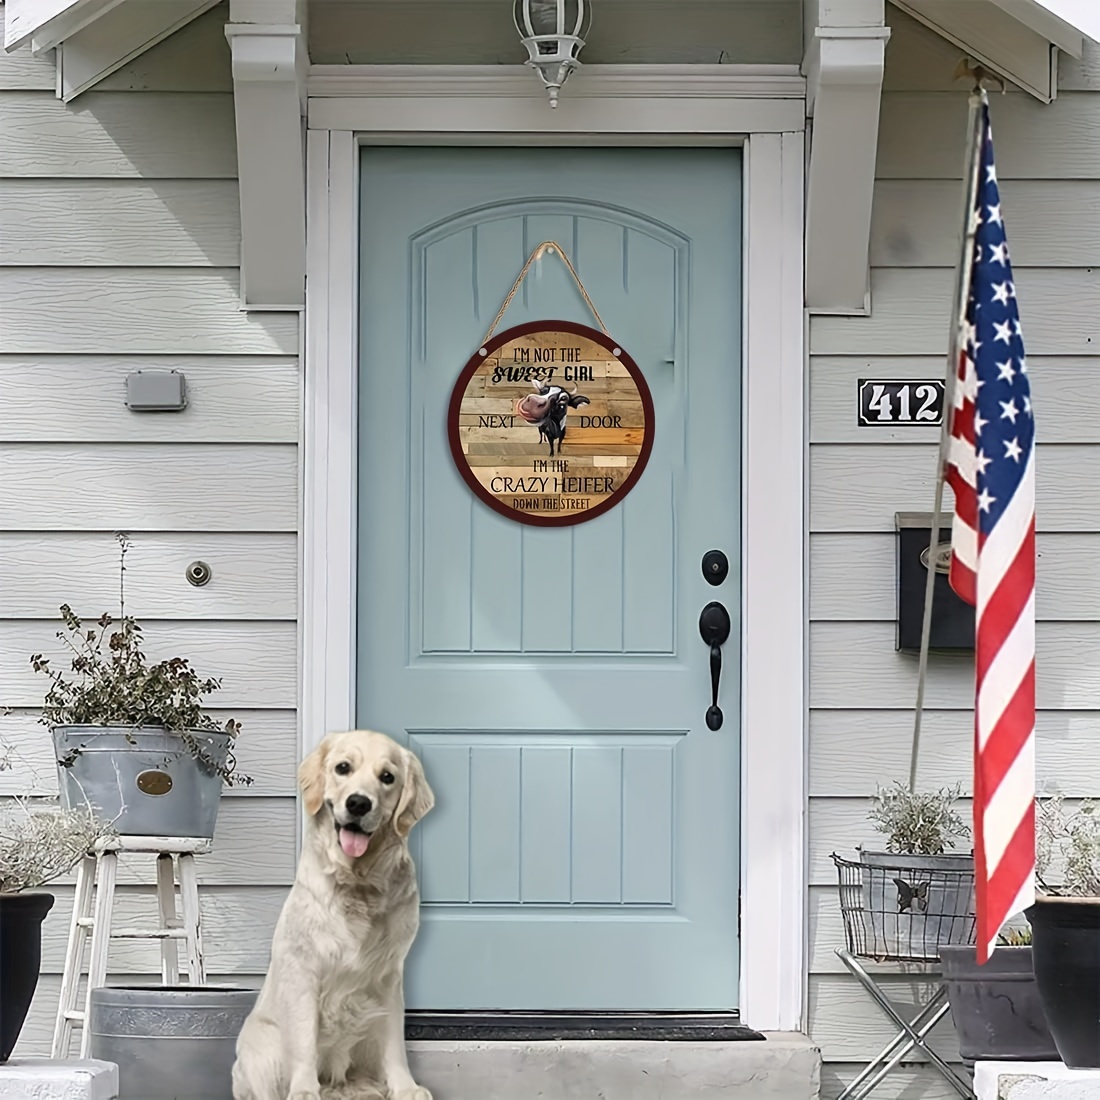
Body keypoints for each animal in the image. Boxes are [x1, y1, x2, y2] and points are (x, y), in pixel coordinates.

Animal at [231, 730, 433, 1100]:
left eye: (387, 777)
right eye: (343, 768)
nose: (358, 803)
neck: (358, 884)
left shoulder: (389, 976)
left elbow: (393, 1041)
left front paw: (405, 1087)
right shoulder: (303, 971)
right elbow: (304, 1040)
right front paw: (304, 1090)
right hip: (261, 1046)